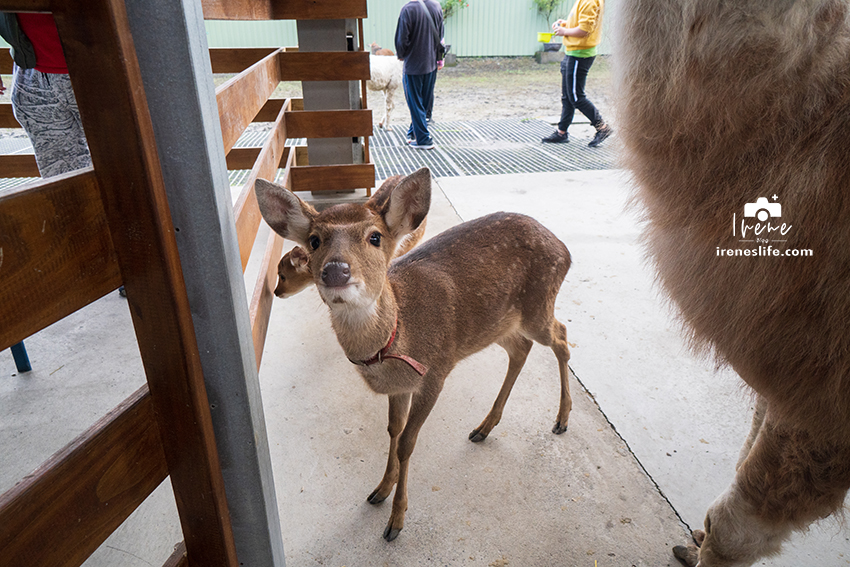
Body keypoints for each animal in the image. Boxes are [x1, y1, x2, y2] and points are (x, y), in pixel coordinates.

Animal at [252, 168, 568, 540]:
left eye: (375, 237)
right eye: (314, 240)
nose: (336, 271)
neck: (397, 339)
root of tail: (564, 249)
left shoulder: (436, 372)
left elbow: (406, 442)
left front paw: (396, 521)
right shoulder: (400, 387)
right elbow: (393, 429)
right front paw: (380, 489)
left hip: (537, 306)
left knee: (561, 337)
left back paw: (561, 420)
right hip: (498, 324)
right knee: (521, 348)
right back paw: (484, 427)